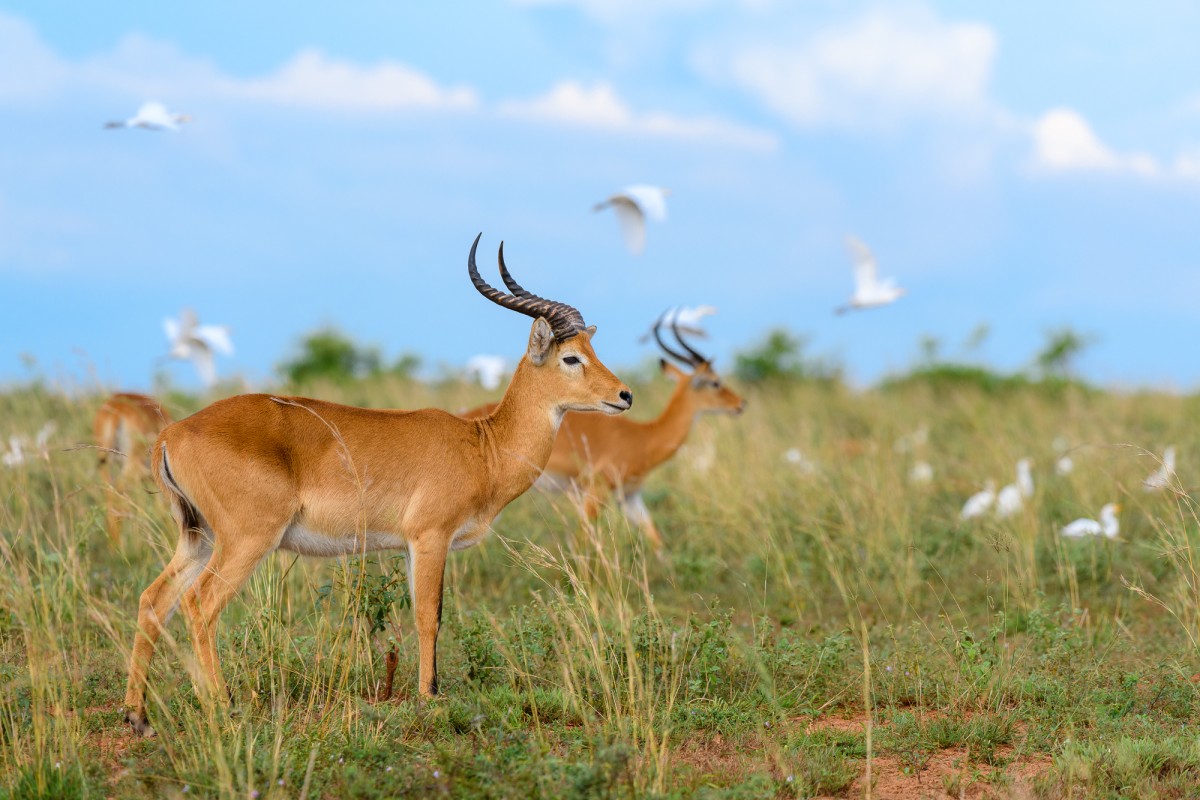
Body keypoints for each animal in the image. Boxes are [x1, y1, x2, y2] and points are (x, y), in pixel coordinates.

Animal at [124, 232, 638, 738]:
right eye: (571, 357)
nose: (625, 395)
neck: (483, 447)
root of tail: (172, 433)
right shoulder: (430, 537)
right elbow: (429, 616)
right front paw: (429, 699)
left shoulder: (414, 546)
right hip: (247, 540)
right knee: (199, 604)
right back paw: (223, 708)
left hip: (199, 537)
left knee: (154, 600)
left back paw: (138, 716)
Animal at [463, 309, 744, 546]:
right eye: (715, 382)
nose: (741, 404)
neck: (644, 437)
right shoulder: (595, 491)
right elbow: (582, 542)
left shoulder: (630, 497)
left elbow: (656, 541)